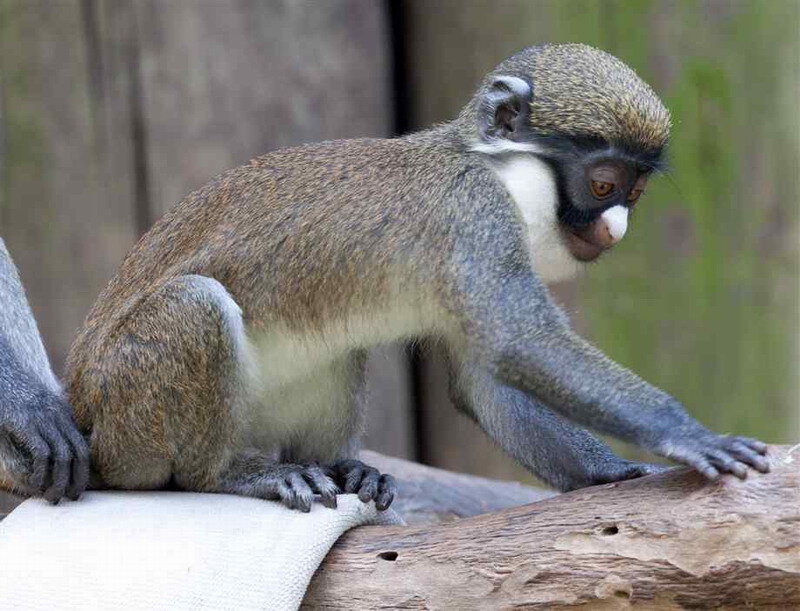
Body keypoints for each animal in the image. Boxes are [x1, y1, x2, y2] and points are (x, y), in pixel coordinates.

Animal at [63, 44, 769, 513]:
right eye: (603, 185)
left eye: (636, 191)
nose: (616, 229)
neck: (497, 167)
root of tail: (83, 415)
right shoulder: (474, 214)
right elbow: (519, 342)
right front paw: (688, 435)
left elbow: (481, 375)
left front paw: (611, 472)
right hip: (126, 418)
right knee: (195, 305)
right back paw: (230, 476)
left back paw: (342, 466)